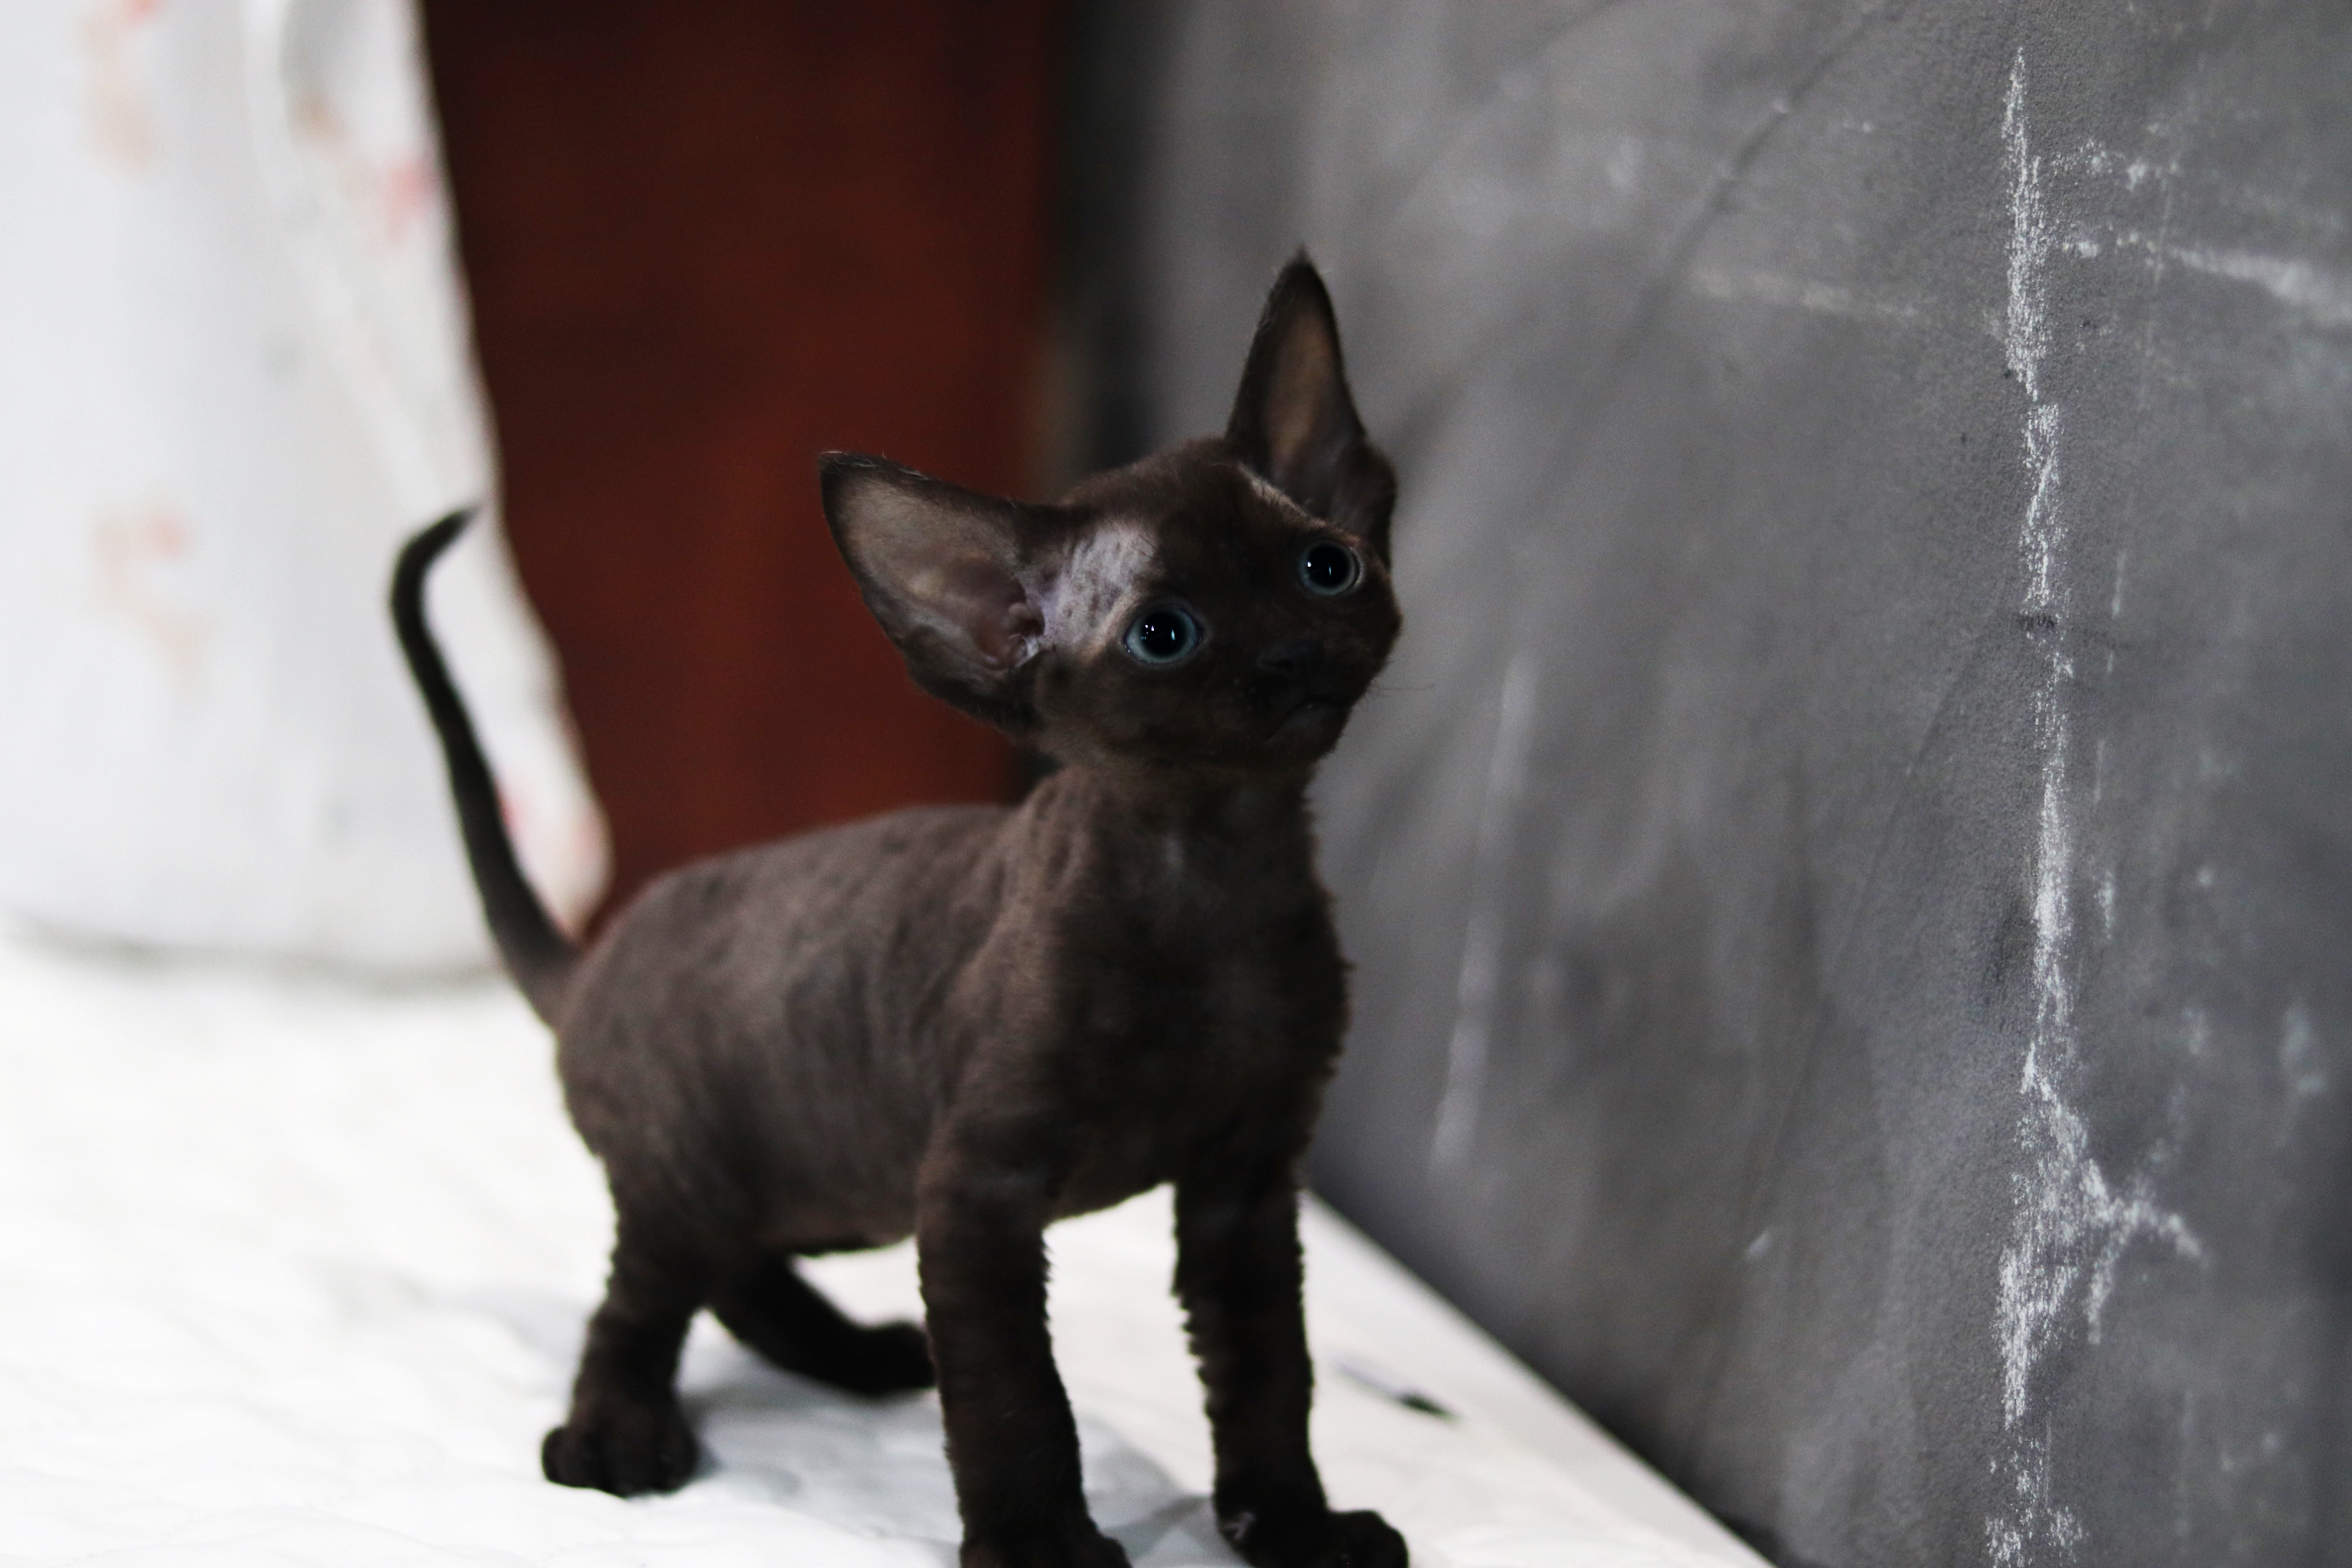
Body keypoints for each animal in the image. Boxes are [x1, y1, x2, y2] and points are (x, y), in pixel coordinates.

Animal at [391, 255, 1406, 1568]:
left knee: (736, 1276)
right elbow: (1017, 1399)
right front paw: (1043, 1549)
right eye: (1164, 635)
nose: (1289, 655)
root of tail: (599, 954)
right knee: (641, 1301)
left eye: (1324, 567)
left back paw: (854, 1356)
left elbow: (1271, 1379)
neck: (1215, 876)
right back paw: (616, 1436)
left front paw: (1294, 1527)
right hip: (695, 1169)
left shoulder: (1246, 1187)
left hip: (817, 1182)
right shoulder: (977, 1194)